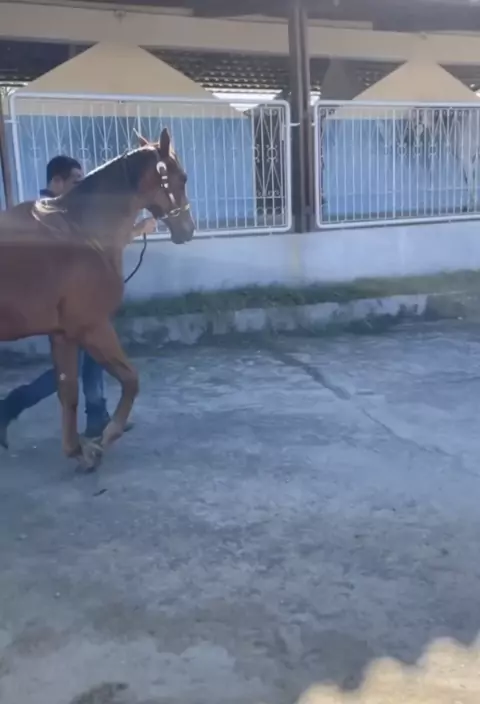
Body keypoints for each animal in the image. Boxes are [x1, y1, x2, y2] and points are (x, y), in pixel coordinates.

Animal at [0, 128, 195, 470]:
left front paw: (79, 450)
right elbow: (130, 379)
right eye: (181, 178)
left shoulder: (62, 334)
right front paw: (107, 435)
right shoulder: (93, 327)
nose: (188, 229)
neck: (80, 231)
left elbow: (68, 391)